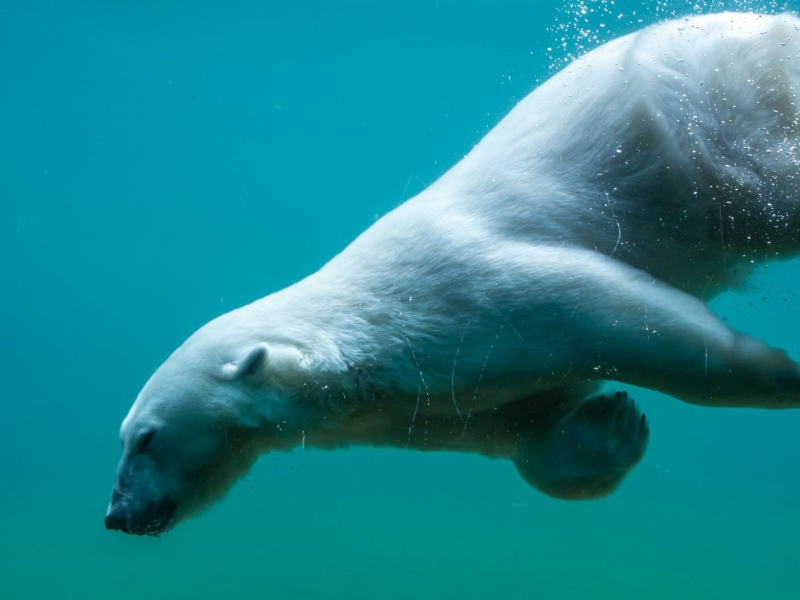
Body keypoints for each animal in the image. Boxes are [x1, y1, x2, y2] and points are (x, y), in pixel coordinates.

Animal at [109, 11, 800, 536]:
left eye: (145, 438)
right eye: (123, 439)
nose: (117, 516)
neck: (361, 332)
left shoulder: (470, 294)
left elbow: (624, 316)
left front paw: (779, 376)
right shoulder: (434, 407)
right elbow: (529, 432)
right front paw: (614, 425)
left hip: (717, 120)